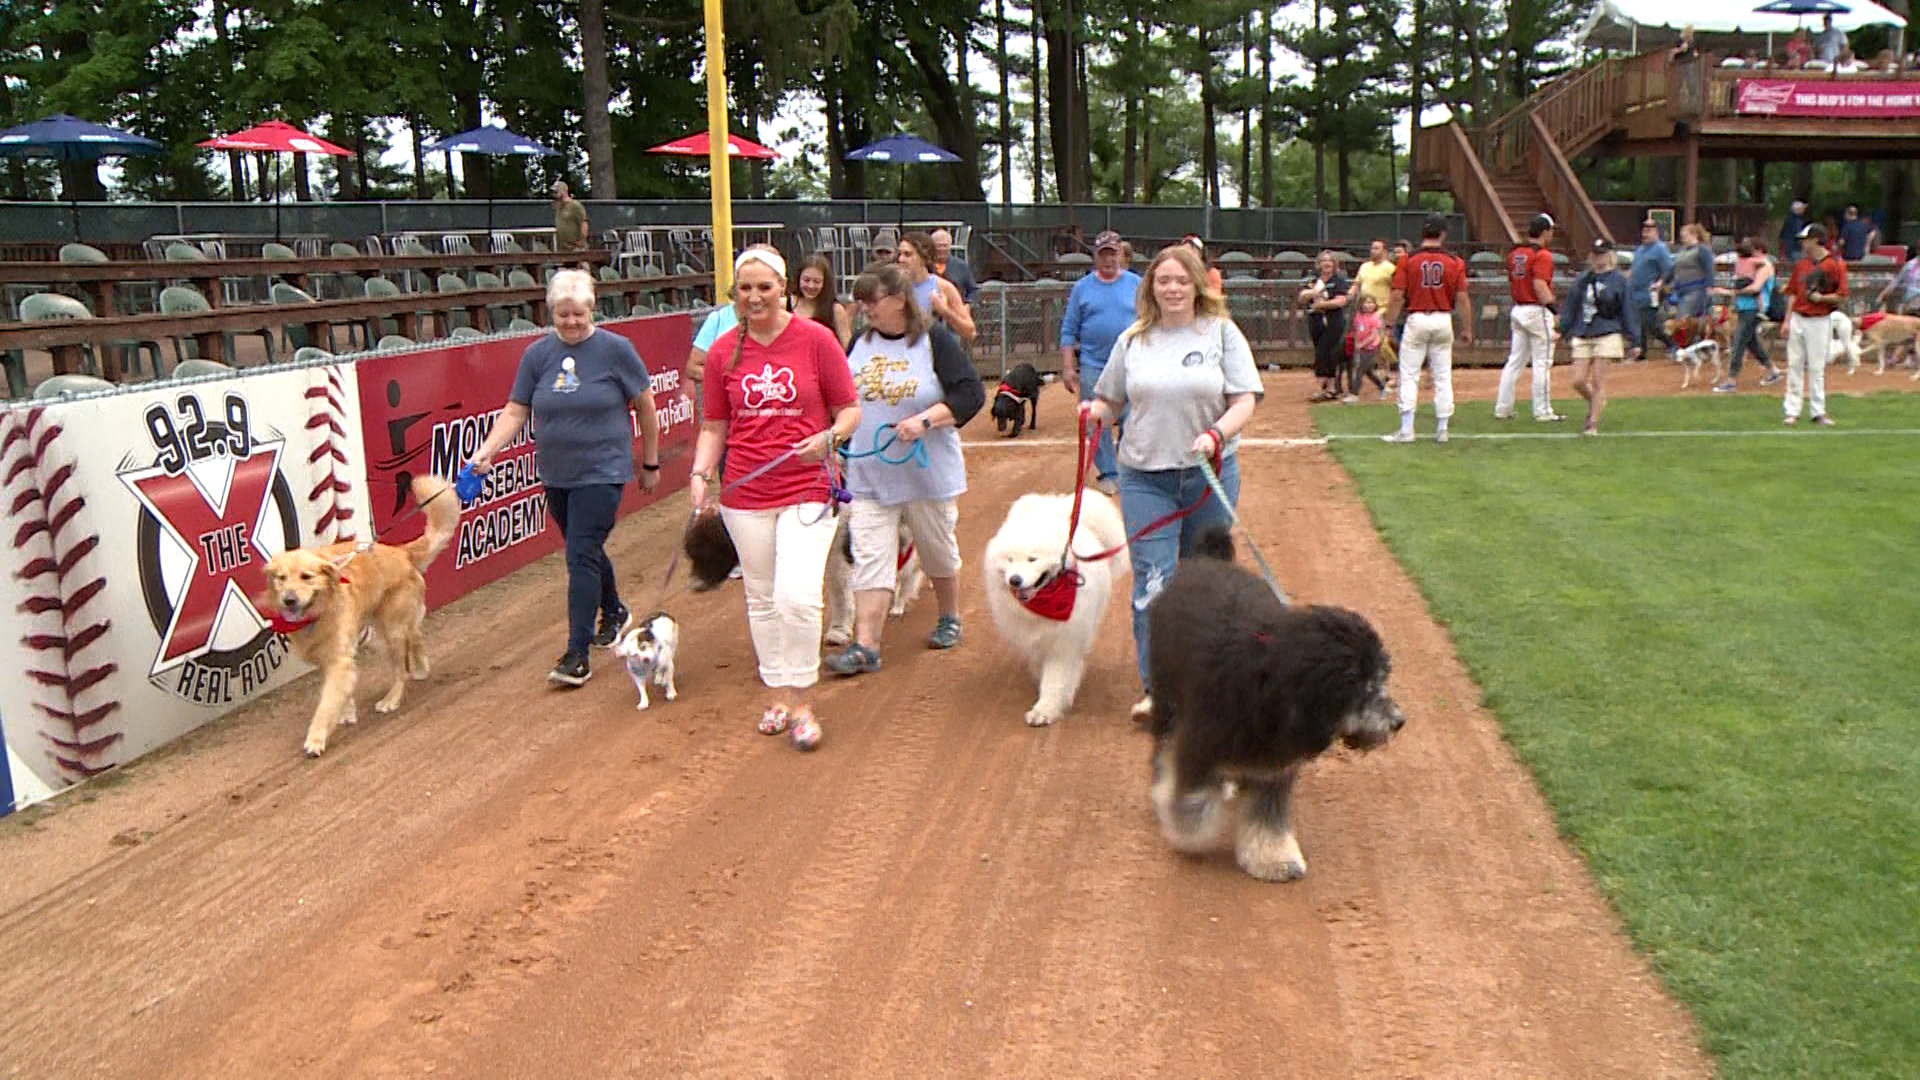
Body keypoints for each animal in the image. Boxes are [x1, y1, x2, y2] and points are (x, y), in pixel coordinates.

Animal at [261, 474, 458, 753]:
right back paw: (421, 667)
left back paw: (392, 699)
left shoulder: (339, 660)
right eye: (281, 578)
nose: (289, 600)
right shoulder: (330, 660)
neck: (319, 612)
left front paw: (316, 739)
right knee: (416, 636)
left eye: (306, 577)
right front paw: (347, 712)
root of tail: (401, 551)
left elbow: (326, 704)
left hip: (391, 631)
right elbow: (339, 695)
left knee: (401, 669)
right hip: (378, 634)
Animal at [990, 491, 1121, 726]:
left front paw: (1046, 709)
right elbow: (1039, 664)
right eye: (1010, 560)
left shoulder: (1064, 642)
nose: (1015, 580)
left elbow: (1055, 677)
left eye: (1032, 559)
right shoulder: (1033, 640)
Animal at [1144, 526, 1405, 880]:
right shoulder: (1199, 747)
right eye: (1364, 687)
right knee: (1164, 749)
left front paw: (1273, 858)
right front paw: (1187, 833)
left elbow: (1267, 817)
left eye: (1381, 678)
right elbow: (1192, 803)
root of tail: (1205, 560)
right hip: (1168, 701)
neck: (1269, 690)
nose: (1398, 721)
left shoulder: (1273, 766)